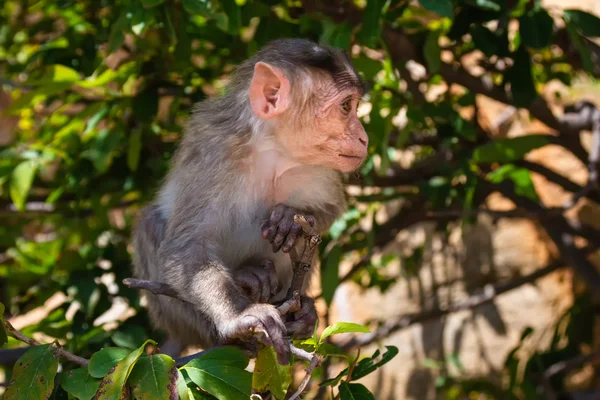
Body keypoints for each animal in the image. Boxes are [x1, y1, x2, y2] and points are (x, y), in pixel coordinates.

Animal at [132, 38, 370, 366]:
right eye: (346, 107)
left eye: (354, 106)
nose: (364, 137)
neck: (274, 150)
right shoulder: (215, 153)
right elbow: (185, 247)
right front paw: (240, 315)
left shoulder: (320, 168)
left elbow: (330, 209)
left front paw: (291, 217)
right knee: (150, 223)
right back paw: (241, 297)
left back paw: (302, 313)